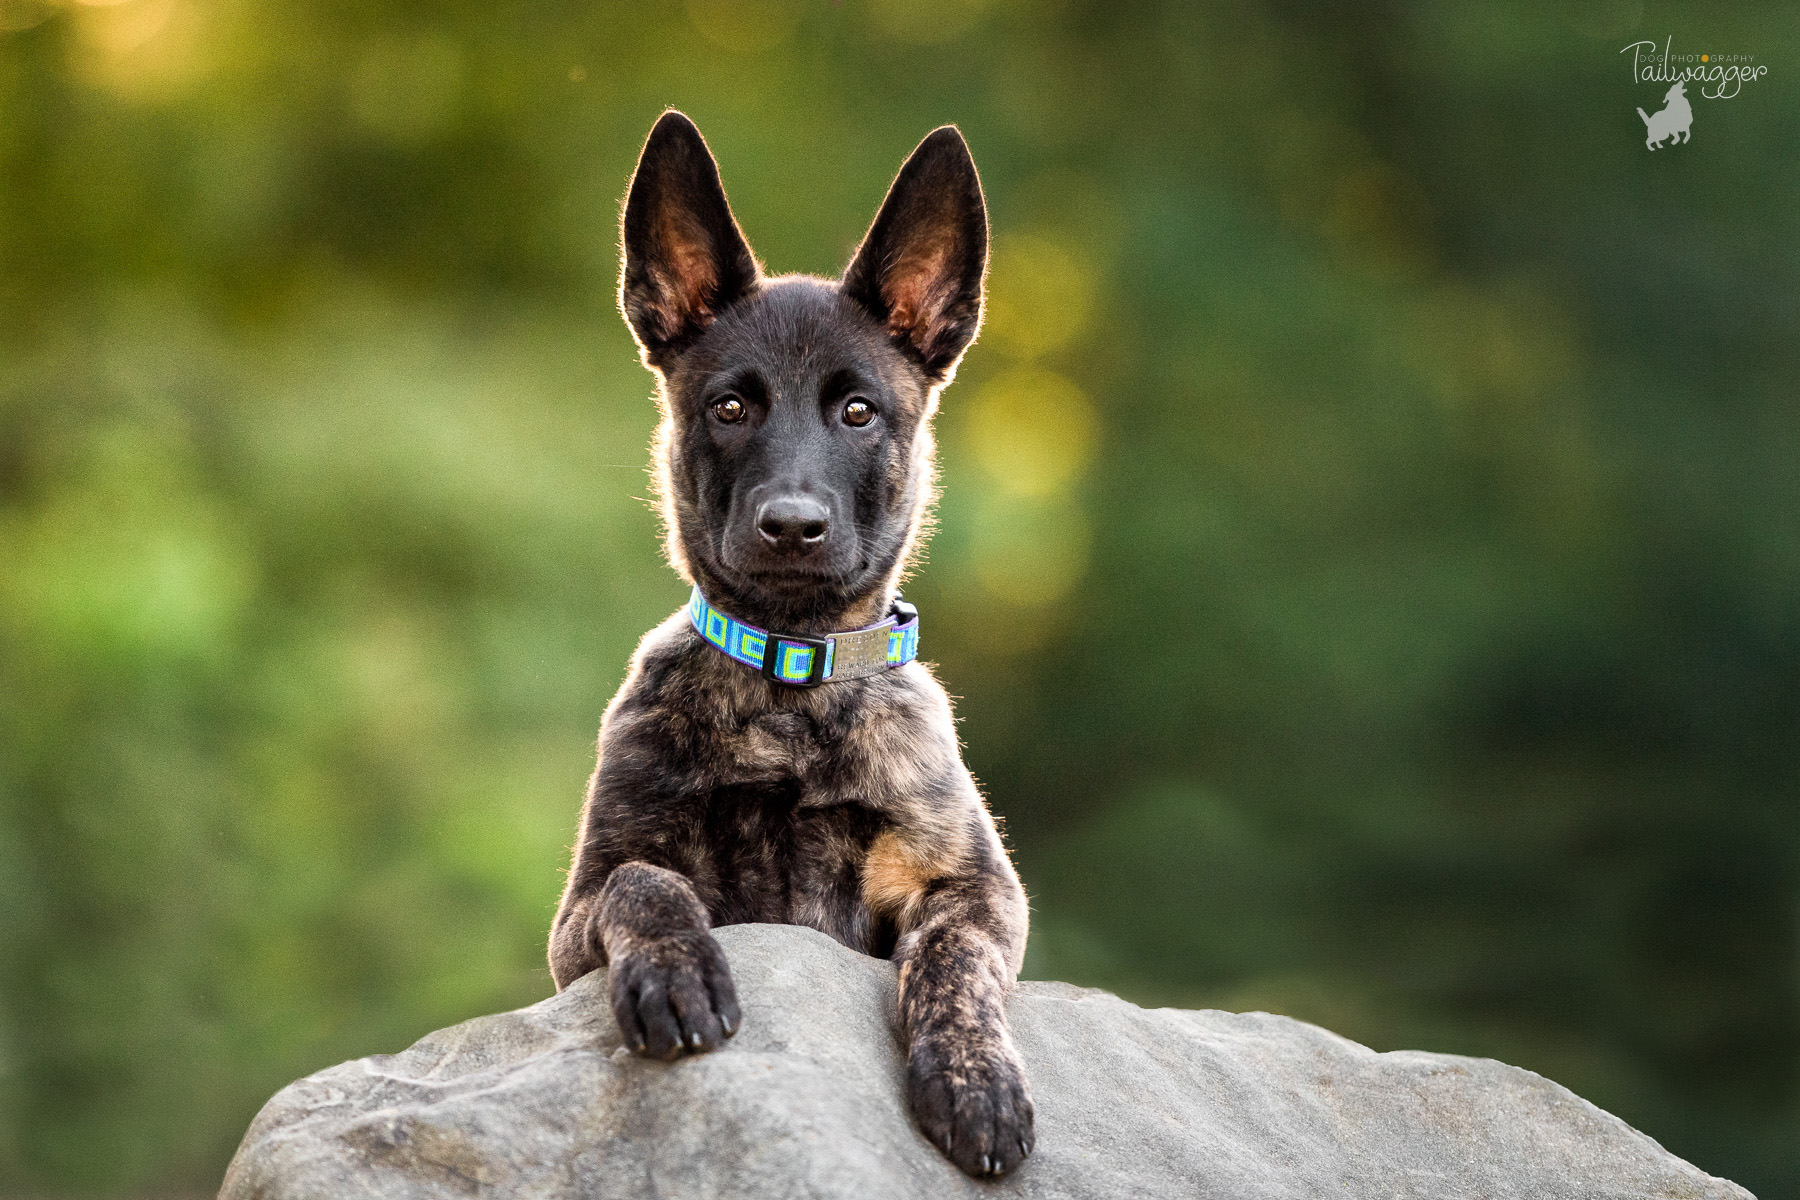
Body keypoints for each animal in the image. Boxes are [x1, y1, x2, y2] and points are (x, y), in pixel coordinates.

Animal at [540, 107, 1036, 1180]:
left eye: (858, 411)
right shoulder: (577, 915)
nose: (793, 527)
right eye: (730, 406)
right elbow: (645, 882)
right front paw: (677, 974)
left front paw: (975, 1079)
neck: (791, 689)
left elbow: (954, 961)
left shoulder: (976, 889)